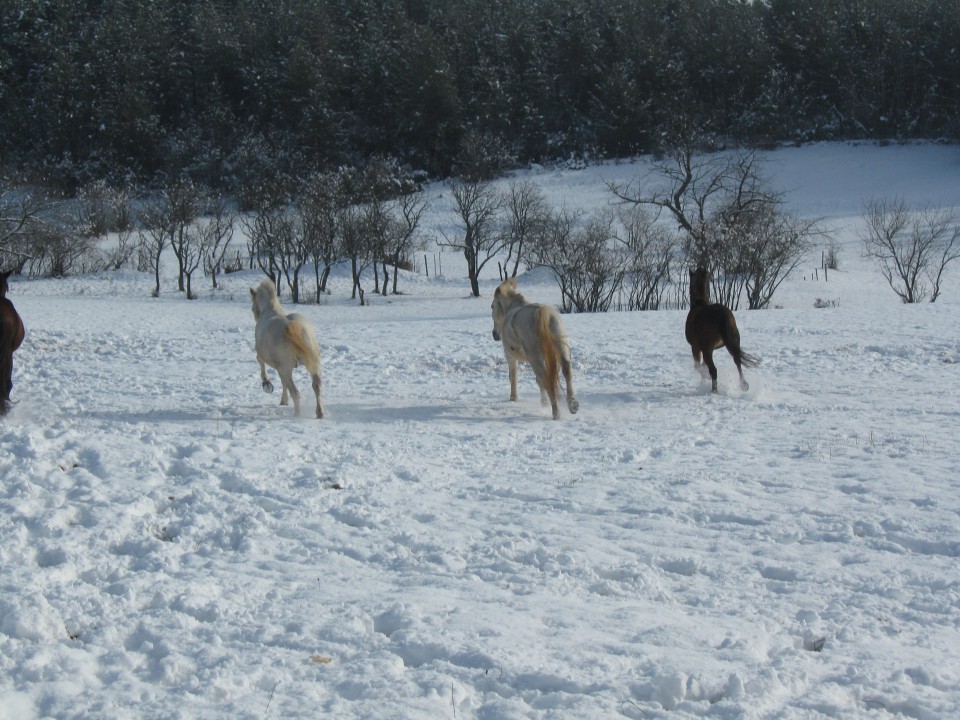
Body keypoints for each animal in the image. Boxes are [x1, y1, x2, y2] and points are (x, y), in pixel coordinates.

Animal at [249, 278, 324, 420]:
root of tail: (290, 326)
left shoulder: (264, 358)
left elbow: (262, 366)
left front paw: (267, 385)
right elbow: (283, 383)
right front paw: (283, 401)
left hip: (285, 369)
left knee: (295, 392)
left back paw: (297, 415)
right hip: (313, 364)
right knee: (317, 386)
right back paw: (320, 413)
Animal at [488, 278, 576, 420]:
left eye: (492, 306)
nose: (494, 334)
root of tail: (542, 312)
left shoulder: (510, 357)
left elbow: (513, 377)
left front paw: (514, 398)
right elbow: (538, 381)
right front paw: (544, 402)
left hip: (535, 359)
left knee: (547, 380)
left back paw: (556, 413)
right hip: (561, 349)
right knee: (566, 372)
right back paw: (572, 405)